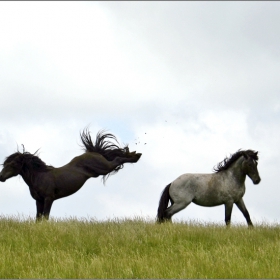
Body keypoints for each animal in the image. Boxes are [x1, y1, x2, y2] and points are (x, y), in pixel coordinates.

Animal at [0, 128, 141, 220]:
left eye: (12, 164)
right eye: (4, 163)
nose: (1, 177)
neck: (39, 177)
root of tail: (94, 152)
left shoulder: (48, 199)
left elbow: (45, 217)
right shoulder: (38, 201)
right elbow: (38, 218)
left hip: (104, 168)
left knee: (117, 159)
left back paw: (136, 156)